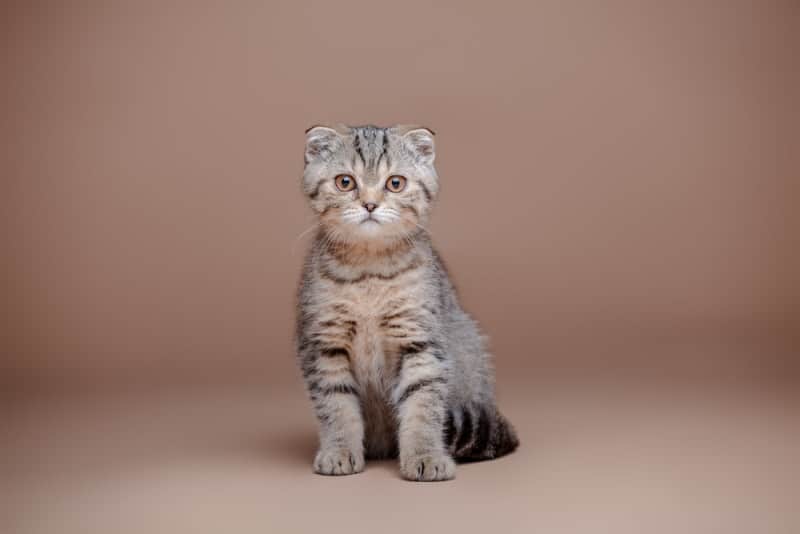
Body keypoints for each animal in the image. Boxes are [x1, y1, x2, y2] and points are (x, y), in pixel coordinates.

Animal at [296, 124, 520, 482]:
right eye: (345, 182)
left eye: (395, 183)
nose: (370, 204)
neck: (369, 272)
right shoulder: (324, 344)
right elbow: (336, 406)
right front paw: (340, 451)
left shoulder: (419, 340)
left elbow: (422, 407)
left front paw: (426, 456)